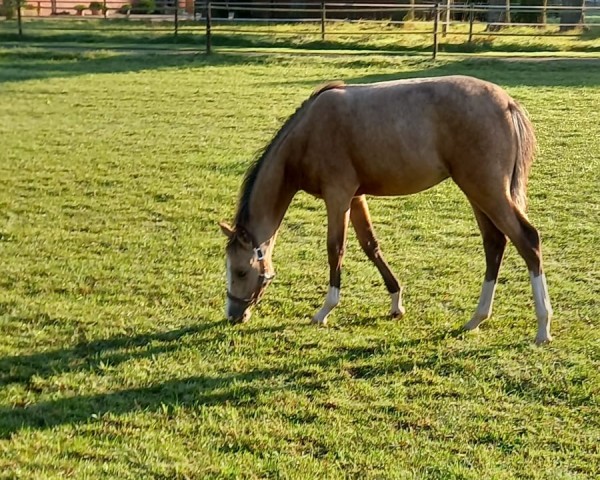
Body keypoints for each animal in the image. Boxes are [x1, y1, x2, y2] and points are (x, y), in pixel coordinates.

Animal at [219, 75, 552, 344]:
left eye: (240, 270)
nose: (233, 315)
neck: (307, 134)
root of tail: (508, 103)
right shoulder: (355, 198)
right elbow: (370, 245)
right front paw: (396, 302)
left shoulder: (337, 196)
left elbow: (335, 249)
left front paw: (325, 310)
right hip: (477, 192)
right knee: (494, 243)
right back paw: (477, 318)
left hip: (487, 190)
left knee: (527, 240)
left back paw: (543, 327)